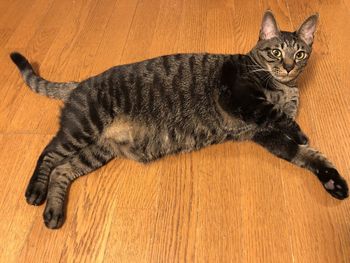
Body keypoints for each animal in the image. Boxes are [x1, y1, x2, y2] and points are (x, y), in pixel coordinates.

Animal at [10, 10, 348, 229]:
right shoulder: (240, 98)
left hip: (97, 150)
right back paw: (35, 192)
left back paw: (53, 213)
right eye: (276, 52)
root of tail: (79, 83)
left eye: (300, 54)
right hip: (83, 127)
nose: (289, 67)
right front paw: (300, 131)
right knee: (48, 154)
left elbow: (306, 155)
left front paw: (333, 180)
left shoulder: (265, 135)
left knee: (63, 169)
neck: (284, 87)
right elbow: (280, 118)